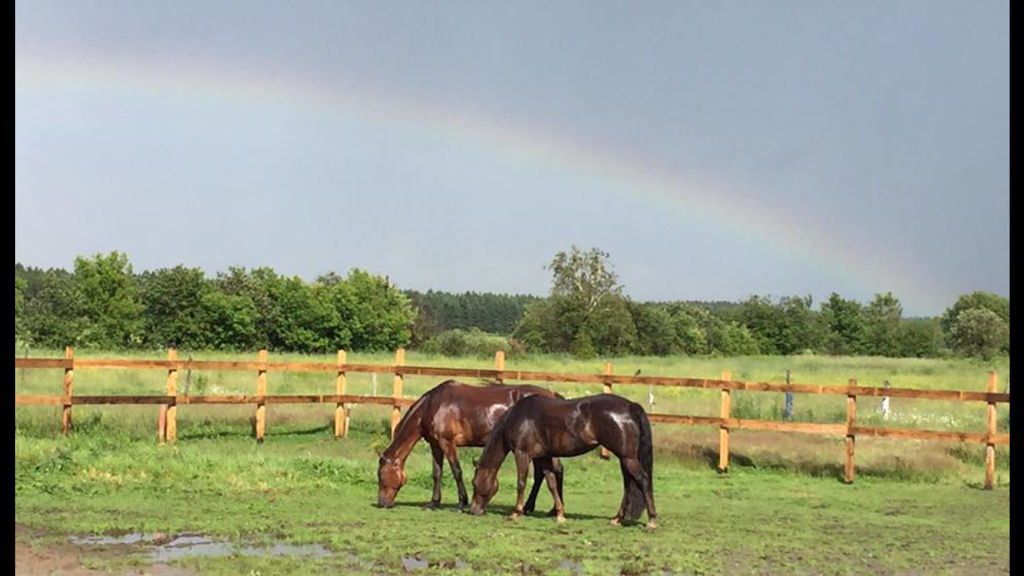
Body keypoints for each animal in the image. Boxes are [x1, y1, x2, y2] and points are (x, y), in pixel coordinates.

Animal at [378, 379, 569, 508]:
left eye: (380, 476)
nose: (381, 502)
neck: (433, 406)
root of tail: (553, 395)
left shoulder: (448, 443)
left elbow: (457, 471)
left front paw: (462, 502)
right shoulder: (436, 445)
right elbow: (437, 474)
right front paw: (433, 503)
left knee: (550, 472)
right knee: (549, 472)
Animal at [468, 391, 655, 528]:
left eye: (474, 483)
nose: (473, 510)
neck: (519, 418)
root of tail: (630, 406)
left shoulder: (522, 453)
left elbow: (521, 482)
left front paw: (516, 513)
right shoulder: (543, 457)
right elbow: (551, 483)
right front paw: (559, 514)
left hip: (627, 458)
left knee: (643, 481)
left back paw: (651, 520)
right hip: (625, 458)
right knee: (629, 485)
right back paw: (617, 519)